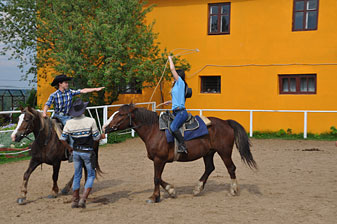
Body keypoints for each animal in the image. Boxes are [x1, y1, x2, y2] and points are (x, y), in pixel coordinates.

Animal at [103, 104, 256, 204]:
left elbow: (156, 178)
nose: (105, 127)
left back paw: (233, 190)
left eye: (120, 114)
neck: (154, 130)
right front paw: (170, 191)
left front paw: (154, 197)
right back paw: (197, 189)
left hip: (224, 152)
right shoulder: (159, 160)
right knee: (209, 168)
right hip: (209, 153)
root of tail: (226, 122)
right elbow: (159, 178)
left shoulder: (159, 160)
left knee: (231, 168)